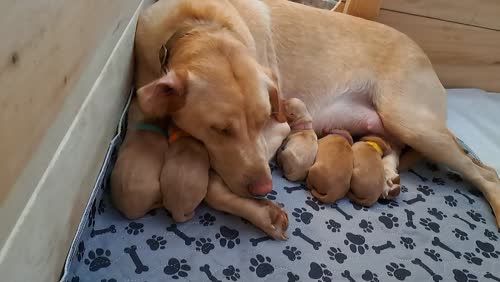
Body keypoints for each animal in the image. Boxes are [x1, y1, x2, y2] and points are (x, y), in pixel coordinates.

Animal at [133, 0, 500, 238]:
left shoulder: (279, 125)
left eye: (263, 119)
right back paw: (387, 175)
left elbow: (212, 185)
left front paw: (259, 211)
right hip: (393, 124)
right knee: (392, 145)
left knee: (486, 173)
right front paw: (260, 212)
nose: (266, 188)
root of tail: (422, 53)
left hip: (411, 120)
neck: (197, 25)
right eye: (219, 129)